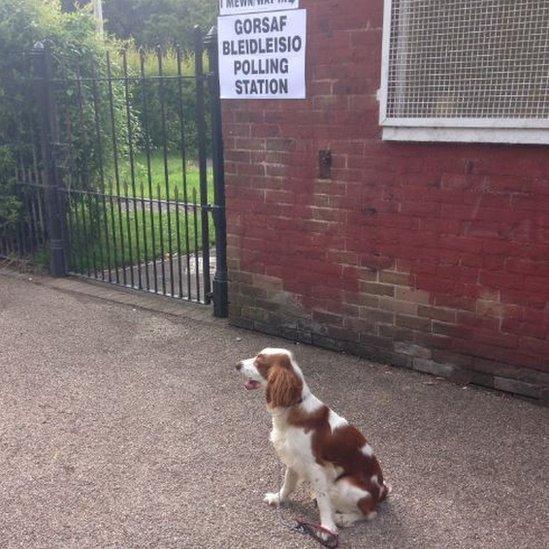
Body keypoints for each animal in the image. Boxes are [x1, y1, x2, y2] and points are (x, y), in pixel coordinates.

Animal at [235, 346, 390, 536]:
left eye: (259, 361)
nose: (237, 364)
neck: (293, 406)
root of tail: (382, 491)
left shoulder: (316, 467)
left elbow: (323, 501)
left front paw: (327, 527)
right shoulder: (294, 459)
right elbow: (288, 484)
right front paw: (278, 498)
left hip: (346, 486)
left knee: (370, 512)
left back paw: (343, 518)